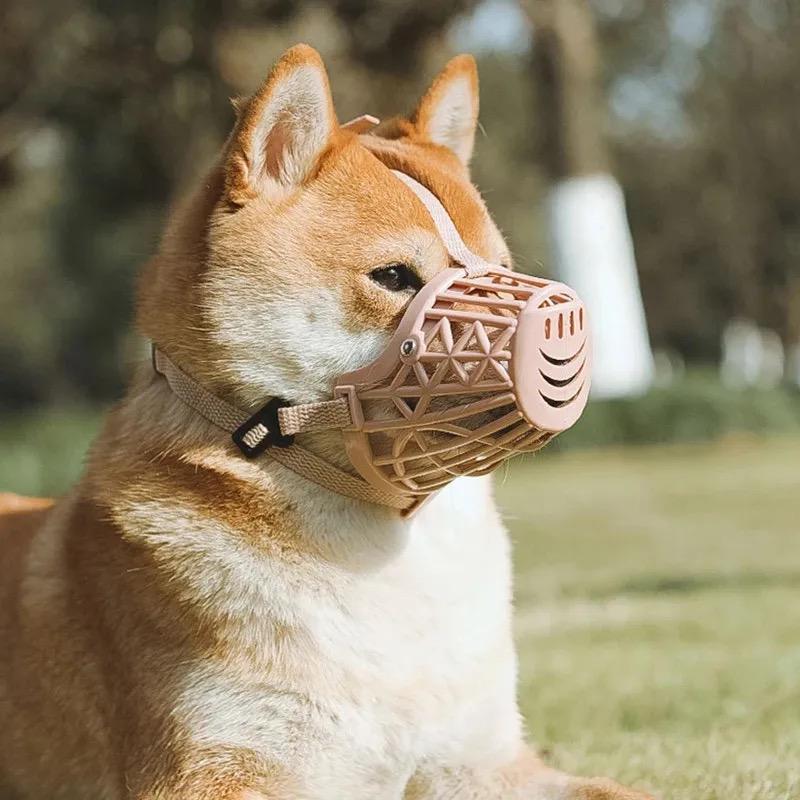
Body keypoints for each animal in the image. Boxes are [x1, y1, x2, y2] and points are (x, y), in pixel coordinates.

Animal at [0, 45, 652, 800]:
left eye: (500, 269)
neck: (389, 551)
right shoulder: (211, 768)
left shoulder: (484, 761)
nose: (564, 324)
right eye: (394, 276)